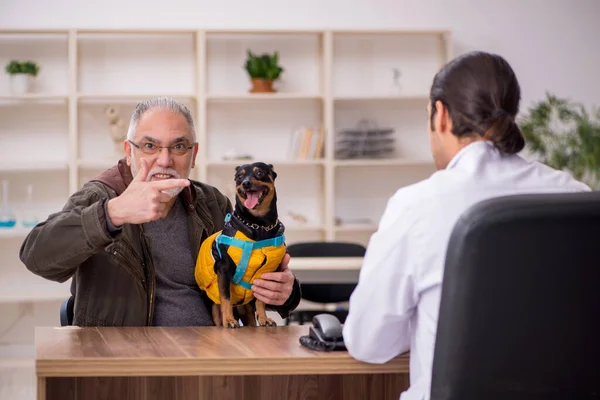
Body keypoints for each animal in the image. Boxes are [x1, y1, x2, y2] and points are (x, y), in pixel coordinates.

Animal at [193, 162, 284, 328]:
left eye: (260, 172)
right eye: (239, 177)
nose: (246, 183)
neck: (259, 225)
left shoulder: (265, 274)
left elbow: (261, 300)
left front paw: (264, 318)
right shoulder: (223, 270)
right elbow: (226, 299)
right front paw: (229, 320)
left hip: (246, 311)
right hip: (215, 310)